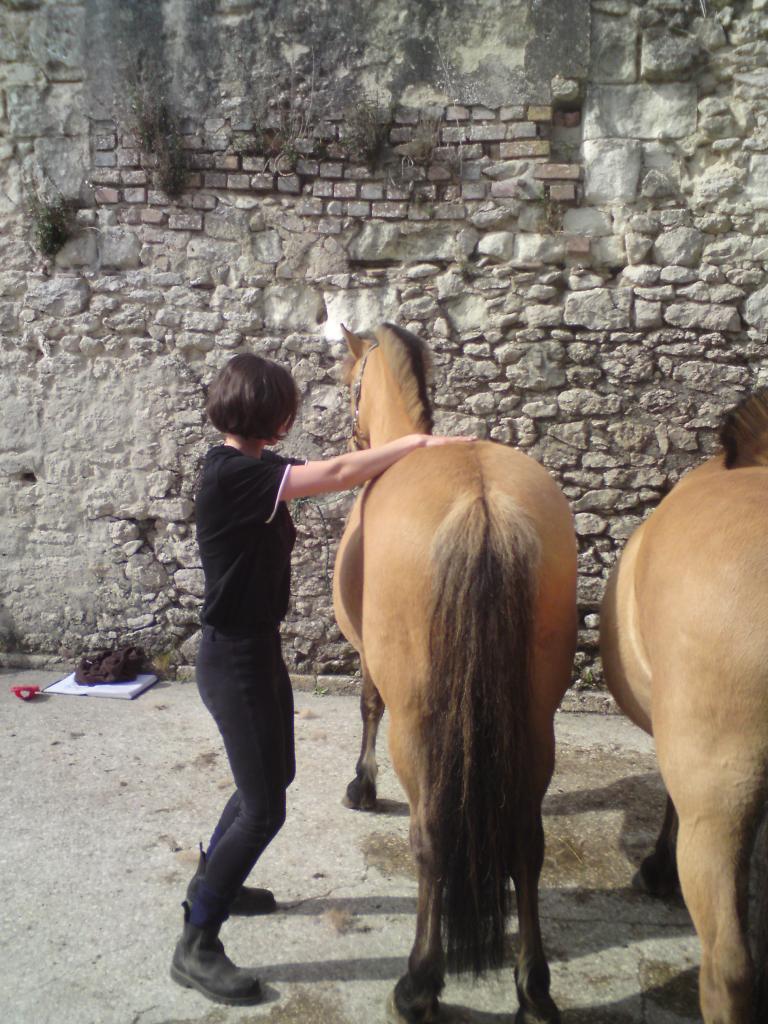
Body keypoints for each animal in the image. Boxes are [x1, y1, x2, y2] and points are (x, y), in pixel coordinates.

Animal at [331, 325, 577, 1024]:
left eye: (349, 383)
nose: (353, 440)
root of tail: (481, 501)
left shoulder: (371, 660)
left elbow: (367, 706)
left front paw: (361, 787)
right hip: (535, 719)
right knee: (527, 841)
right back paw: (534, 988)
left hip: (420, 726)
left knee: (432, 839)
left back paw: (419, 984)